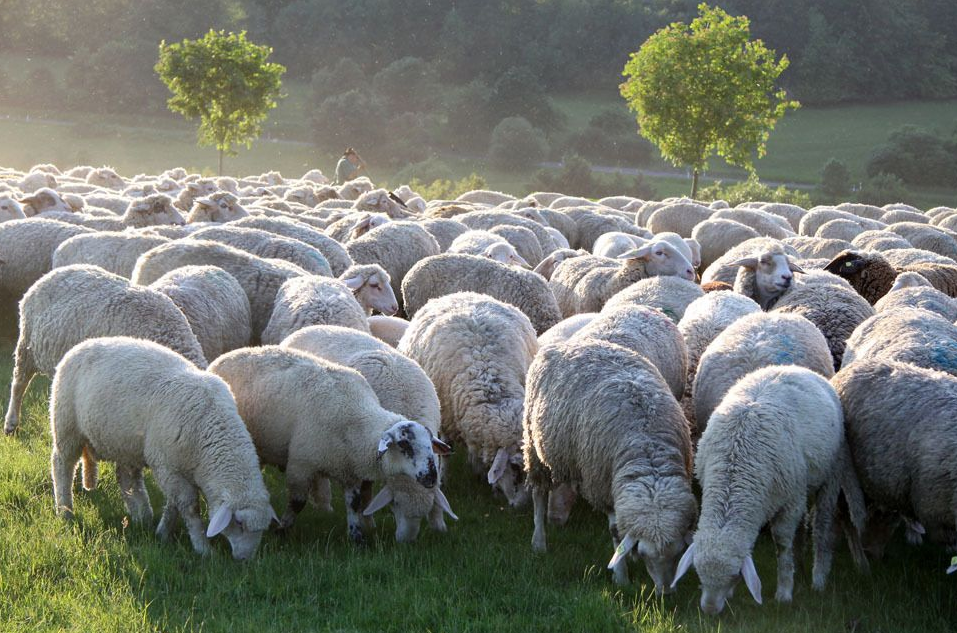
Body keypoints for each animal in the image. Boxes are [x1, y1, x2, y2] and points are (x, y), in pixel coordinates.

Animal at [524, 338, 696, 592]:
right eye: (645, 555)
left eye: (678, 553)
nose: (666, 592)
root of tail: (571, 342)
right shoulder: (605, 487)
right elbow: (616, 535)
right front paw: (621, 577)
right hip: (534, 447)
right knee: (538, 494)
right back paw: (538, 541)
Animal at [672, 366, 868, 612]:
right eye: (697, 573)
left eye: (734, 575)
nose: (709, 610)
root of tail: (795, 368)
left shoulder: (788, 502)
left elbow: (781, 544)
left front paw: (784, 592)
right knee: (802, 527)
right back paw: (799, 566)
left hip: (831, 472)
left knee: (821, 526)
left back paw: (818, 578)